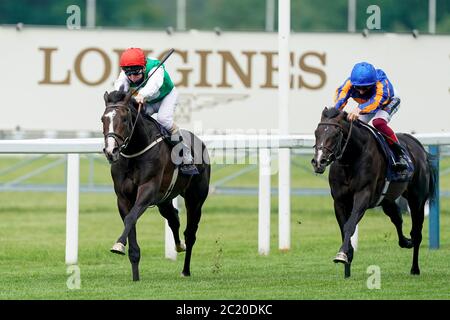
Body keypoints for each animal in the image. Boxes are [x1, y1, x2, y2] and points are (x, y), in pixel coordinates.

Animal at [101, 89, 210, 280]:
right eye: (103, 119)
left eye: (124, 119)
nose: (110, 151)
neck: (135, 151)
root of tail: (200, 141)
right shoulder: (123, 197)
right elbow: (130, 222)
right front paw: (135, 275)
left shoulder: (148, 189)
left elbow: (130, 218)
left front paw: (118, 244)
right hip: (164, 200)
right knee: (173, 218)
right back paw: (179, 246)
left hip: (195, 199)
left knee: (190, 233)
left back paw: (185, 270)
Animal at [312, 107, 434, 278]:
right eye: (316, 132)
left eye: (335, 134)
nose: (318, 162)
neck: (351, 158)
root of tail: (417, 145)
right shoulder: (339, 201)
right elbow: (344, 228)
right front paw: (347, 262)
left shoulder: (363, 195)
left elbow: (350, 225)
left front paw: (342, 255)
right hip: (387, 199)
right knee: (397, 219)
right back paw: (405, 242)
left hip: (417, 199)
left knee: (416, 232)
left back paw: (415, 268)